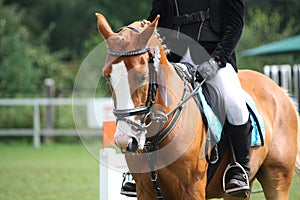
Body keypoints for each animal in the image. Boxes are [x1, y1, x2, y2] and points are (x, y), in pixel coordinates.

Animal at [95, 13, 300, 199]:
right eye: (107, 76)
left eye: (143, 77)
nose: (125, 140)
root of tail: (280, 91)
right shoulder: (145, 191)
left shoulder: (192, 189)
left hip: (277, 179)